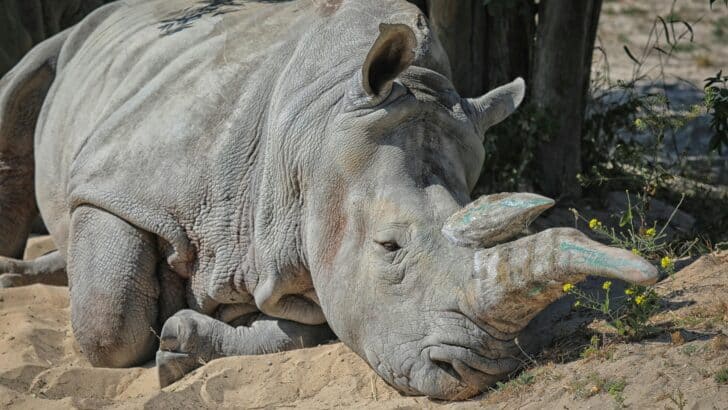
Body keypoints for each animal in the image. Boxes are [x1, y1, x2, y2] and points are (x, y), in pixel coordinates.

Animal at [0, 0, 658, 400]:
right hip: (80, 36)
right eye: (389, 246)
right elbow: (109, 324)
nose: (477, 372)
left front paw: (186, 340)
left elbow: (310, 329)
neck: (311, 130)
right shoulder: (118, 184)